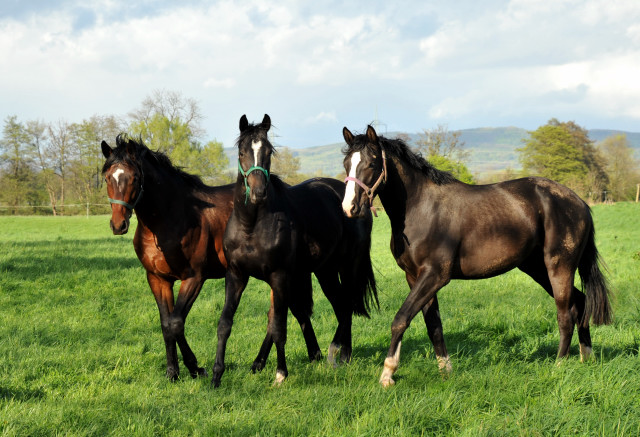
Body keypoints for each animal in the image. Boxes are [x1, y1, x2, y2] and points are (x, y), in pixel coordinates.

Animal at [100, 135, 330, 380]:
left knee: (286, 313)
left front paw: (194, 367)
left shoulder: (194, 279)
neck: (171, 218)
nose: (118, 225)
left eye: (134, 177)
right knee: (283, 314)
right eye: (107, 177)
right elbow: (166, 324)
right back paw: (273, 361)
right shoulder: (157, 279)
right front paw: (173, 372)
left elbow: (176, 323)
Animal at [212, 114, 378, 386]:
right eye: (241, 151)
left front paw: (281, 373)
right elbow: (226, 322)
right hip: (324, 271)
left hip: (347, 267)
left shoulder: (279, 275)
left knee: (346, 306)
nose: (258, 192)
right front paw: (217, 375)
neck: (251, 226)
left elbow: (279, 326)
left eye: (268, 151)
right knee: (338, 305)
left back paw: (341, 354)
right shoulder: (236, 275)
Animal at [342, 123, 612, 384]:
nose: (349, 208)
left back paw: (559, 365)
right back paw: (586, 357)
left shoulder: (435, 276)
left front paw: (387, 374)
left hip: (559, 267)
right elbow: (434, 326)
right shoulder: (415, 277)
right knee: (580, 303)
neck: (422, 208)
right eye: (346, 164)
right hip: (537, 268)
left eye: (371, 163)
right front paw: (445, 370)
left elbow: (401, 319)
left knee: (565, 314)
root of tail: (579, 202)